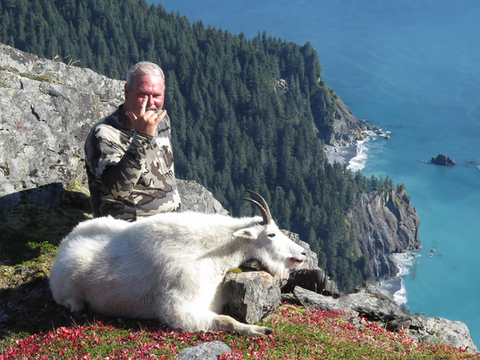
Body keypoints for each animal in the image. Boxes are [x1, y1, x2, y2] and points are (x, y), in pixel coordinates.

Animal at [47, 191, 304, 334]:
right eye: (271, 234)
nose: (301, 254)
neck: (210, 253)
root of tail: (65, 243)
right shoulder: (177, 307)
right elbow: (227, 320)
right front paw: (259, 330)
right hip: (68, 290)